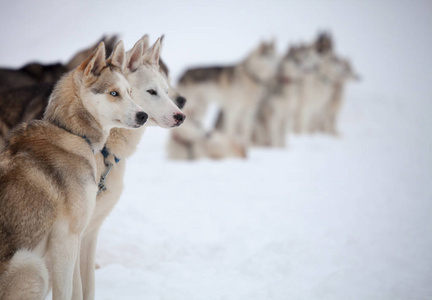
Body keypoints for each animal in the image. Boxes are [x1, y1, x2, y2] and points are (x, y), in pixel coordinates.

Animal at [0, 40, 147, 300]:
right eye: (113, 93)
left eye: (129, 92)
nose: (144, 115)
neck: (72, 133)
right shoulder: (67, 239)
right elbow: (69, 291)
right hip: (34, 267)